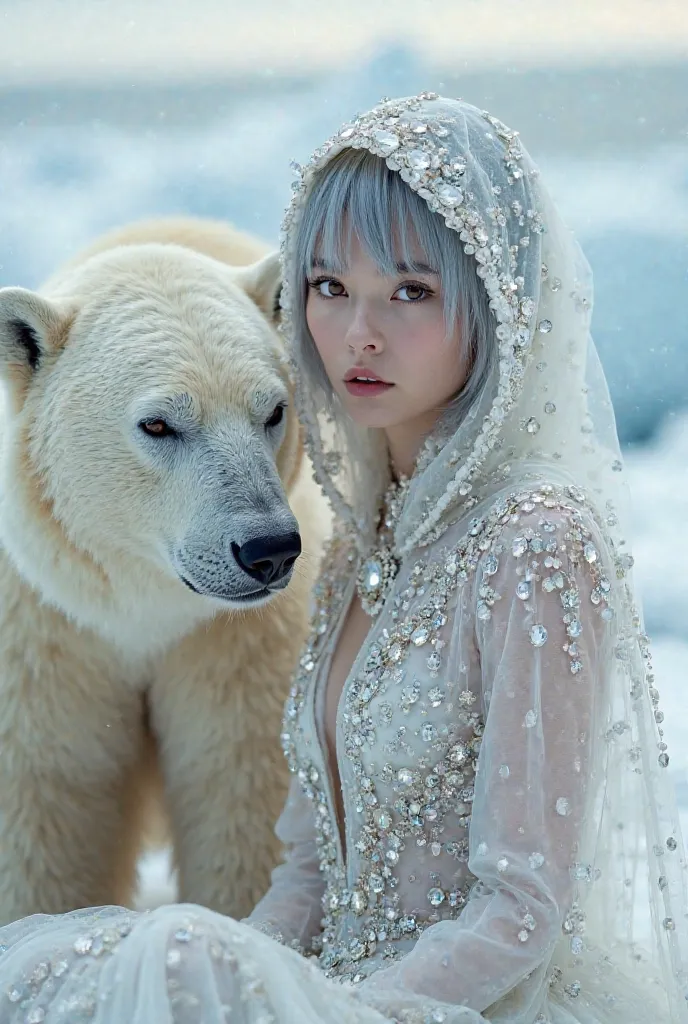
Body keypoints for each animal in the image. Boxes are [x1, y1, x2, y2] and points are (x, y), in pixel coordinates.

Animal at [0, 216, 329, 929]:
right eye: (158, 423)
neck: (141, 609)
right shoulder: (45, 638)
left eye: (274, 410)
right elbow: (47, 803)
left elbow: (241, 790)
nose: (266, 549)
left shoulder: (237, 646)